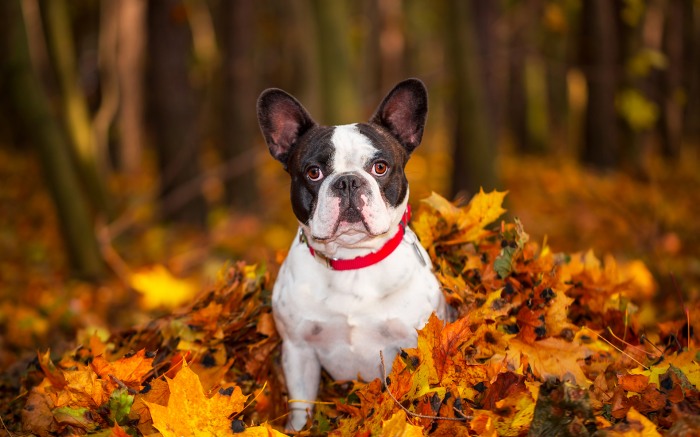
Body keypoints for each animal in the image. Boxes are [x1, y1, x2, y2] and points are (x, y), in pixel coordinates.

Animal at [258, 77, 448, 430]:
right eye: (314, 172)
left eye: (380, 167)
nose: (347, 181)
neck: (352, 260)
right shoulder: (299, 350)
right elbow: (301, 407)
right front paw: (298, 430)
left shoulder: (412, 346)